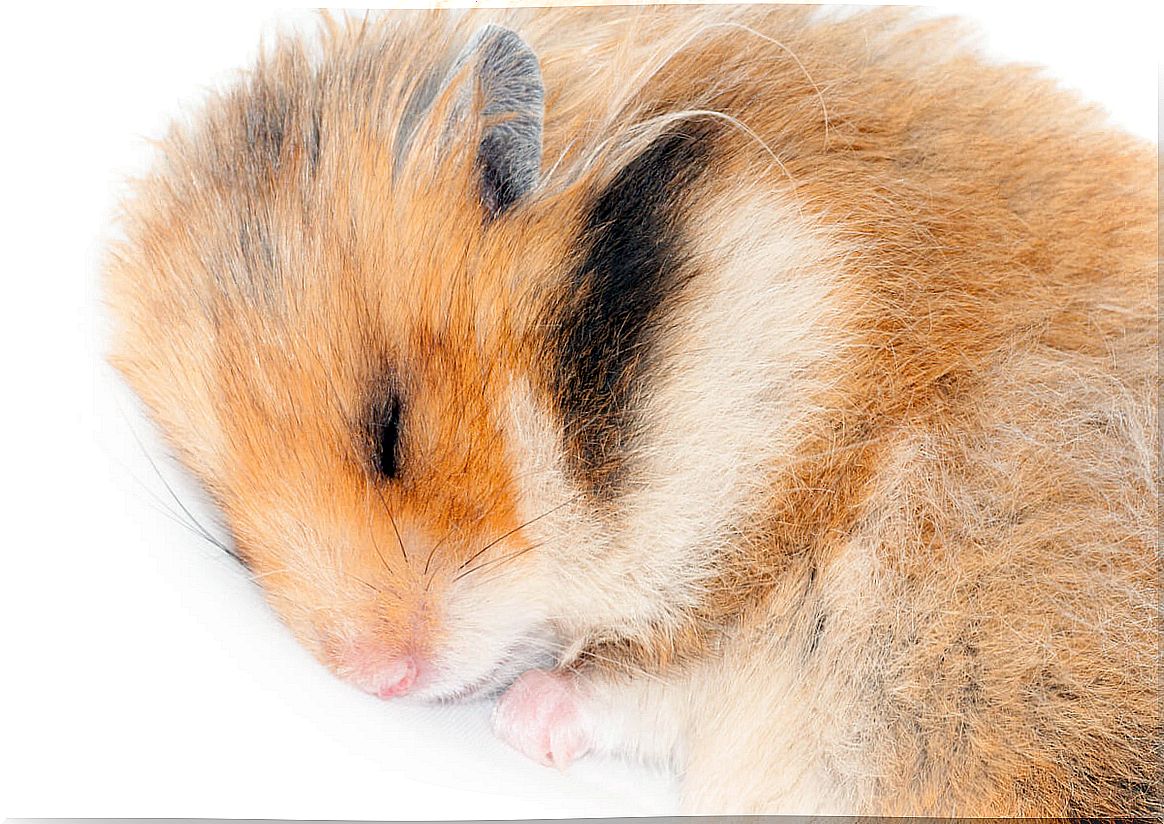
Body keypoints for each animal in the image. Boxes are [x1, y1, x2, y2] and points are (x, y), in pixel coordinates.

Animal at [104, 6, 1159, 819]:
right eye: (232, 532)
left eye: (391, 429)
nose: (374, 680)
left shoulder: (782, 564)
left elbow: (647, 679)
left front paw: (520, 718)